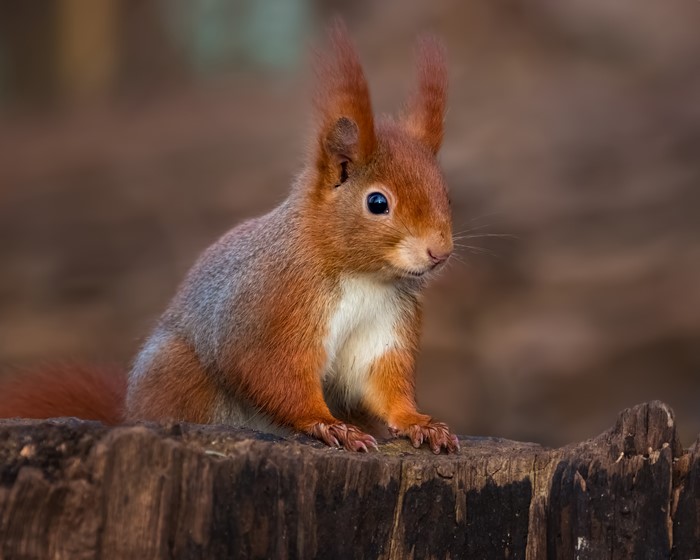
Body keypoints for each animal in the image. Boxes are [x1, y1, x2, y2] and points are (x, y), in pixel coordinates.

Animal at [0, 22, 459, 454]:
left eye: (446, 194)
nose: (440, 252)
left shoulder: (385, 329)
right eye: (377, 202)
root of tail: (128, 412)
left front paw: (419, 422)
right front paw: (328, 425)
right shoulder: (271, 311)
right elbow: (273, 375)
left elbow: (385, 384)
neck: (361, 275)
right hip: (178, 373)